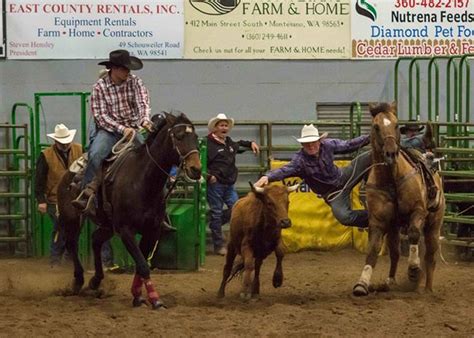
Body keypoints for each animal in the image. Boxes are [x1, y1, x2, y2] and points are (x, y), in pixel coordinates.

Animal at [57, 112, 202, 308]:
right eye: (179, 137)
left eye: (195, 137)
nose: (196, 169)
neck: (142, 182)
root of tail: (67, 173)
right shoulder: (126, 230)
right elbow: (143, 265)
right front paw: (154, 299)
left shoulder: (152, 231)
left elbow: (141, 264)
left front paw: (138, 296)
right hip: (71, 218)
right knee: (71, 244)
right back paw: (78, 281)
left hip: (108, 225)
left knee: (95, 240)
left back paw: (95, 281)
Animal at [354, 102, 446, 296]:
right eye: (376, 126)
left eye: (396, 125)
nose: (391, 153)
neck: (392, 179)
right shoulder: (379, 221)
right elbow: (373, 250)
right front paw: (362, 283)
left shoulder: (418, 211)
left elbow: (413, 233)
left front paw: (413, 269)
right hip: (393, 227)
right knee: (395, 253)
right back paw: (390, 281)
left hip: (434, 225)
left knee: (430, 256)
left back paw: (427, 288)